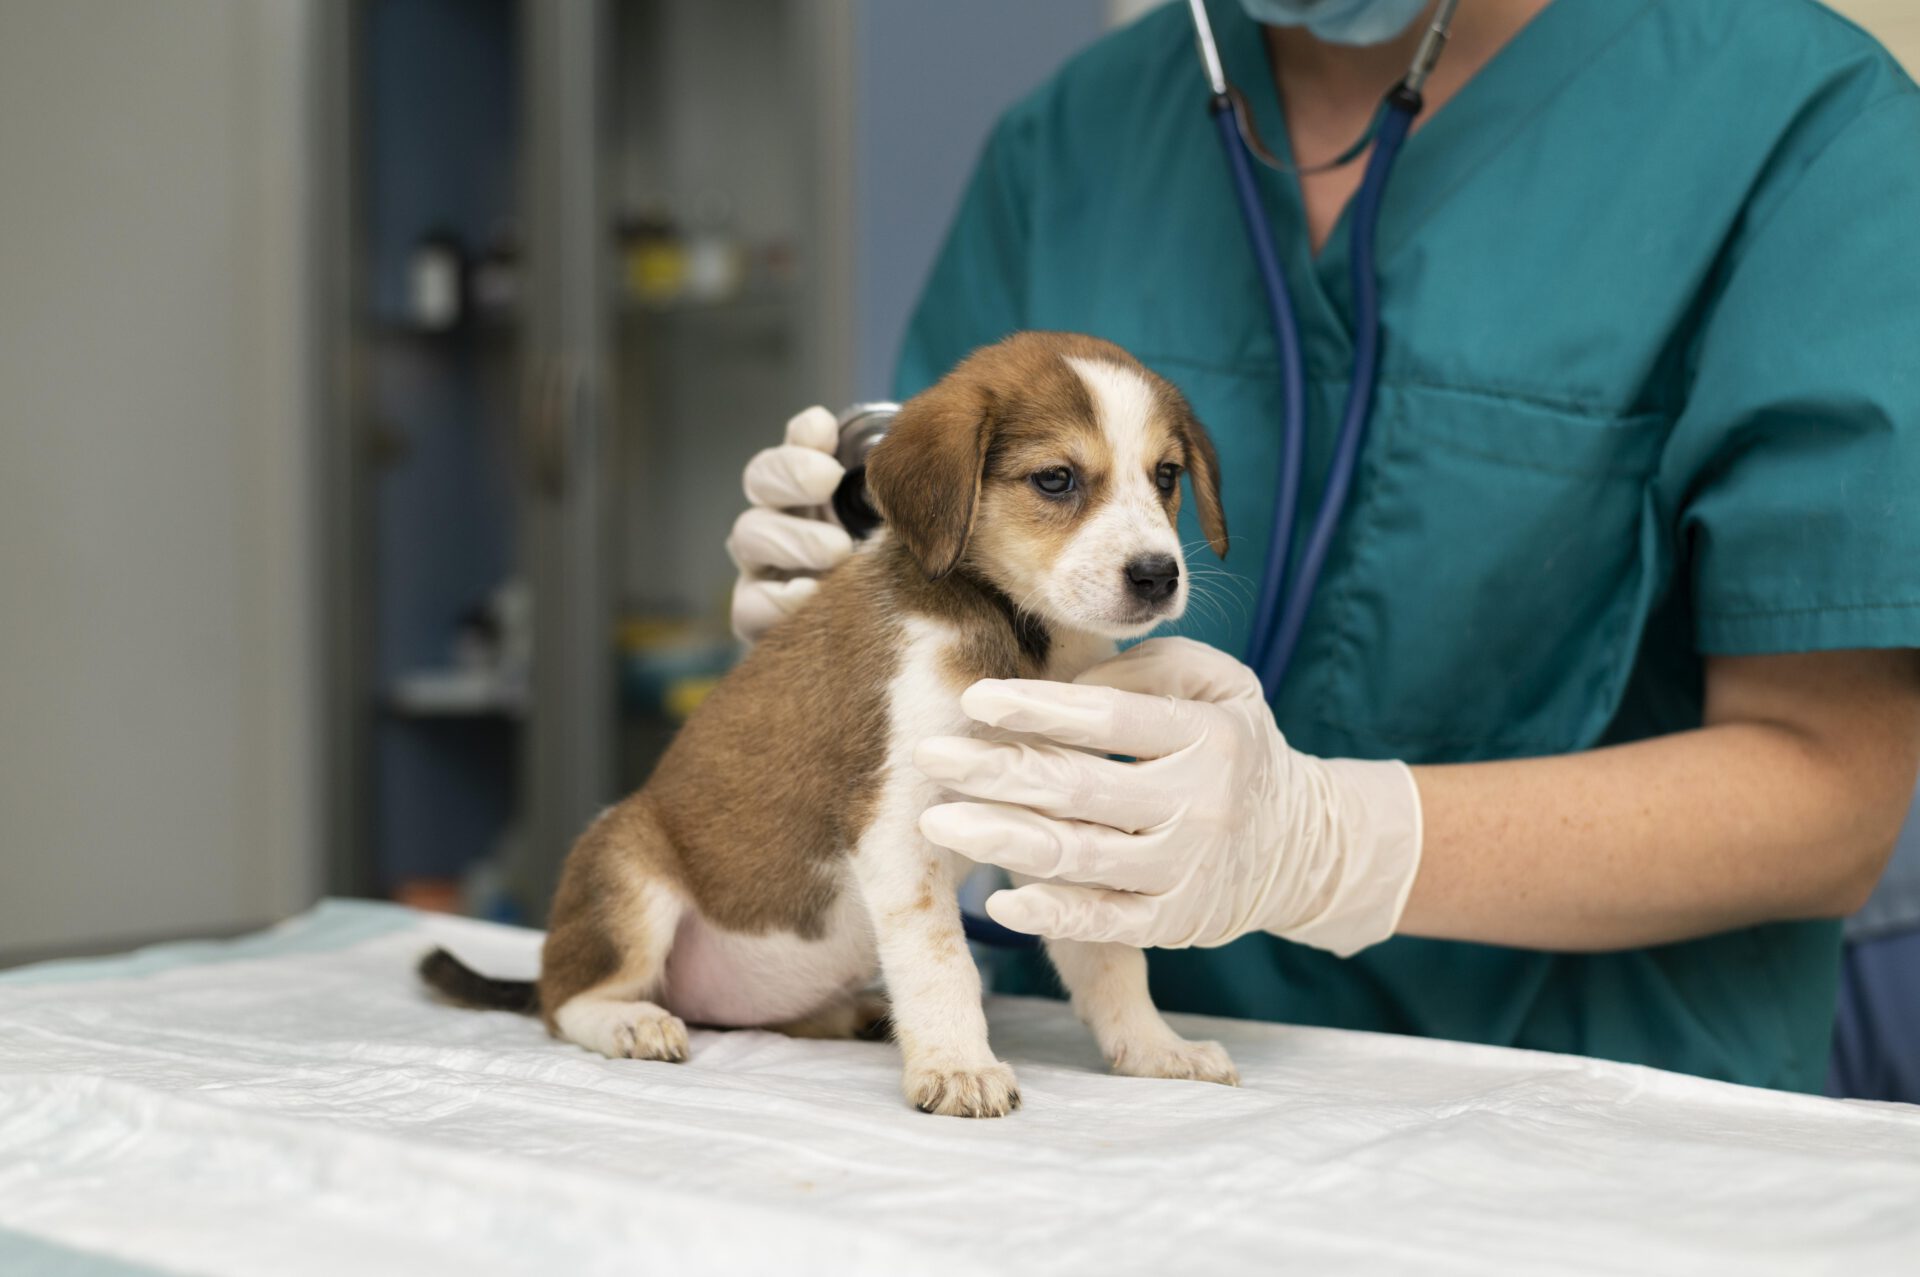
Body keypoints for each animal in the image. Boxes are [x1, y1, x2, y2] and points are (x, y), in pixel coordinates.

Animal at [420, 330, 1236, 1113]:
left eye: (1166, 476)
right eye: (1057, 479)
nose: (1158, 574)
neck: (1020, 635)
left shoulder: (1056, 823)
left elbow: (1109, 959)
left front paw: (1153, 1046)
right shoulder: (897, 827)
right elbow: (943, 962)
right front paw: (958, 1063)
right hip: (625, 868)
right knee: (564, 1000)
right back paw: (629, 1021)